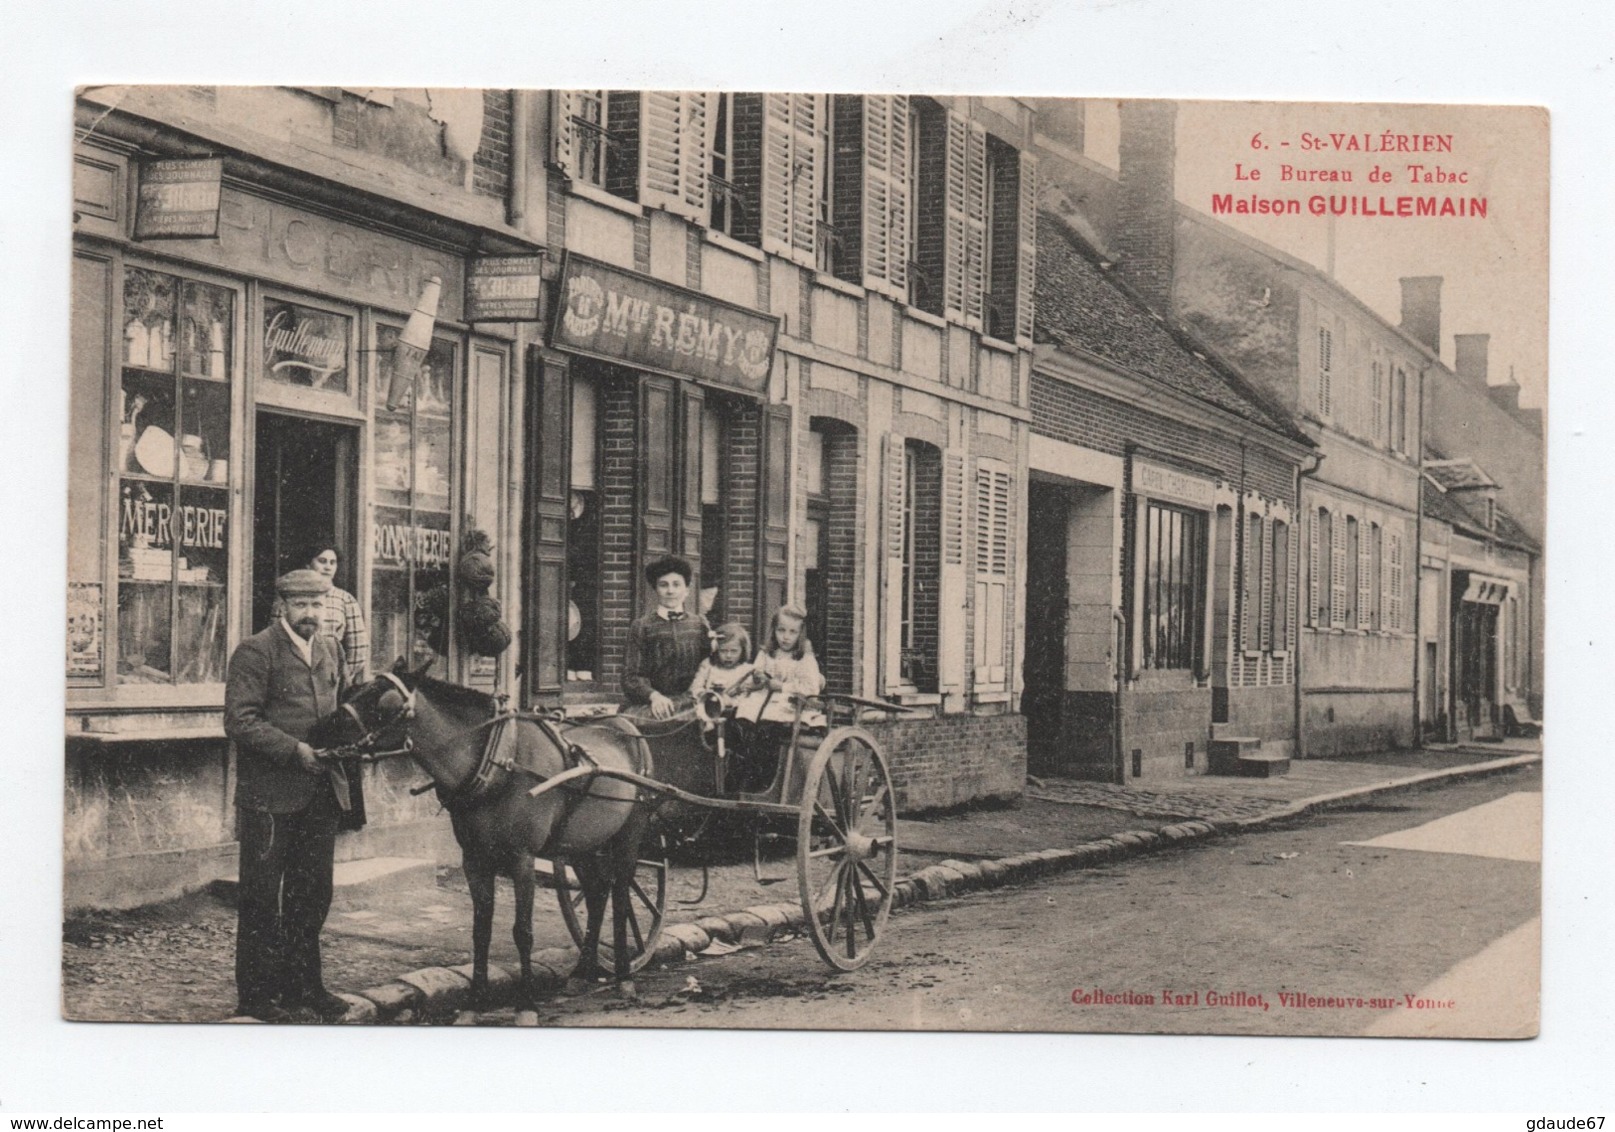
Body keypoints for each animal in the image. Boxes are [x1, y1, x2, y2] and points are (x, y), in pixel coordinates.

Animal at [321, 665, 655, 1001]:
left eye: (384, 703)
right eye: (356, 690)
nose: (321, 729)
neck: (499, 763)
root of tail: (627, 726)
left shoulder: (522, 858)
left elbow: (523, 931)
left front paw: (526, 998)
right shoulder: (474, 858)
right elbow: (480, 928)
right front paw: (477, 996)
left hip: (630, 833)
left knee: (621, 897)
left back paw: (624, 976)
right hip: (580, 844)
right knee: (598, 892)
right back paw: (581, 971)